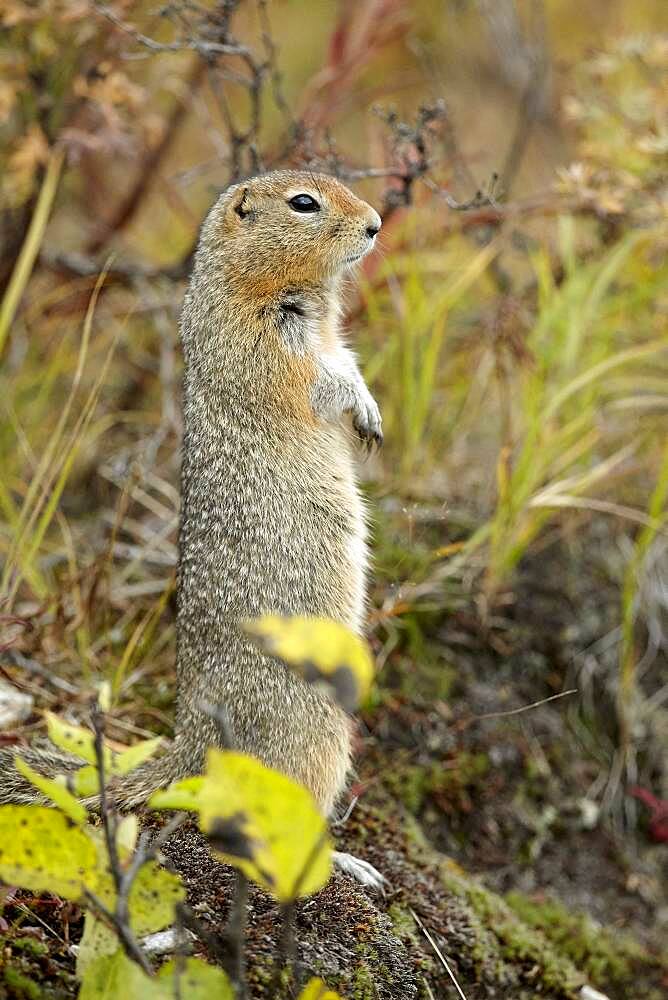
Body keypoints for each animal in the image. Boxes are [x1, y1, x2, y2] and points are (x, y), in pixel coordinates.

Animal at [0, 172, 384, 892]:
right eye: (304, 203)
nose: (377, 224)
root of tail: (189, 751)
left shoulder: (325, 338)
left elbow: (347, 361)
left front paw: (372, 416)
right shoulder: (266, 349)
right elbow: (322, 380)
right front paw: (360, 406)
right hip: (318, 738)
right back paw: (341, 863)